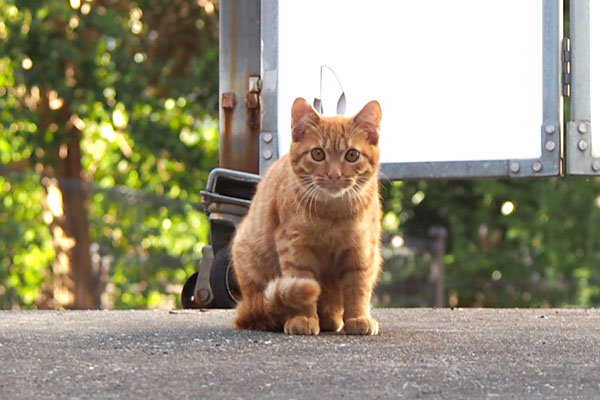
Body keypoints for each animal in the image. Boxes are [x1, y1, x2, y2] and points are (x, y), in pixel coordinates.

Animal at [232, 97, 382, 334]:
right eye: (317, 154)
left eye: (352, 155)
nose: (334, 174)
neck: (333, 214)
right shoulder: (295, 247)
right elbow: (303, 285)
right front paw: (304, 318)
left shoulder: (362, 250)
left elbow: (358, 288)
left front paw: (358, 317)